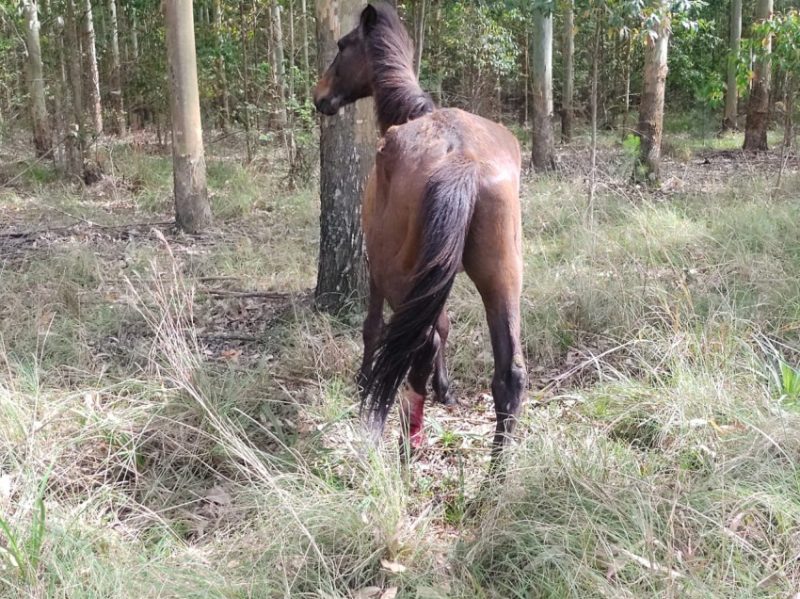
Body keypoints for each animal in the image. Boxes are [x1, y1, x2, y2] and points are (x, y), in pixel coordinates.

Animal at [312, 2, 524, 462]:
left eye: (343, 45)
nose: (320, 96)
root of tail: (461, 159)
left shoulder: (375, 267)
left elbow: (375, 326)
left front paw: (363, 379)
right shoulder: (439, 277)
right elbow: (444, 326)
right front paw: (446, 388)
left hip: (398, 276)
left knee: (417, 345)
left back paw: (408, 439)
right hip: (502, 279)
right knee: (509, 374)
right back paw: (496, 475)